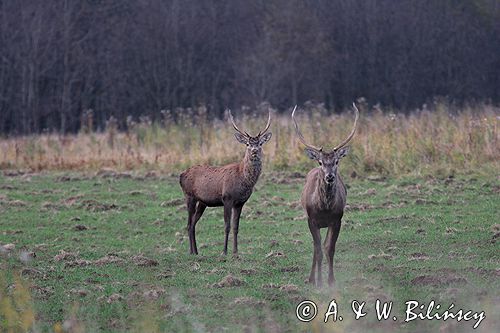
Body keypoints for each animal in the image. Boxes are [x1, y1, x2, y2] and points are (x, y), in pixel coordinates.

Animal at [179, 110, 274, 255]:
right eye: (247, 144)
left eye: (260, 143)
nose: (254, 151)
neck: (243, 179)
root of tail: (181, 175)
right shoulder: (227, 198)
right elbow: (227, 226)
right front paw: (224, 251)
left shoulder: (240, 202)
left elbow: (236, 227)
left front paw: (235, 251)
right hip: (189, 196)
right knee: (189, 224)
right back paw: (191, 252)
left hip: (202, 202)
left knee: (194, 223)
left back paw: (196, 251)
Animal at [292, 103, 360, 286]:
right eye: (321, 161)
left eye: (336, 161)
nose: (329, 176)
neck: (324, 208)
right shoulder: (311, 220)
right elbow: (318, 250)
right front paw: (320, 282)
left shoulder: (336, 220)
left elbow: (329, 249)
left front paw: (331, 280)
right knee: (316, 248)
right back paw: (311, 279)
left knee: (322, 246)